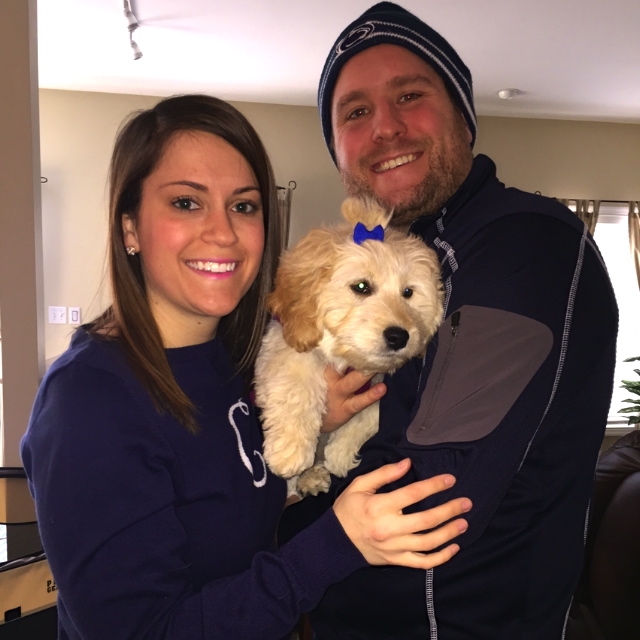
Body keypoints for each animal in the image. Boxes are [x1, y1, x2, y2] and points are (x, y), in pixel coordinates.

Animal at [254, 197, 443, 496]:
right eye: (361, 286)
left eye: (408, 293)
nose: (398, 337)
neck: (348, 360)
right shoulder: (283, 350)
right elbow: (297, 388)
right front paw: (290, 451)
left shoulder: (378, 384)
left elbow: (371, 414)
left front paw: (340, 455)